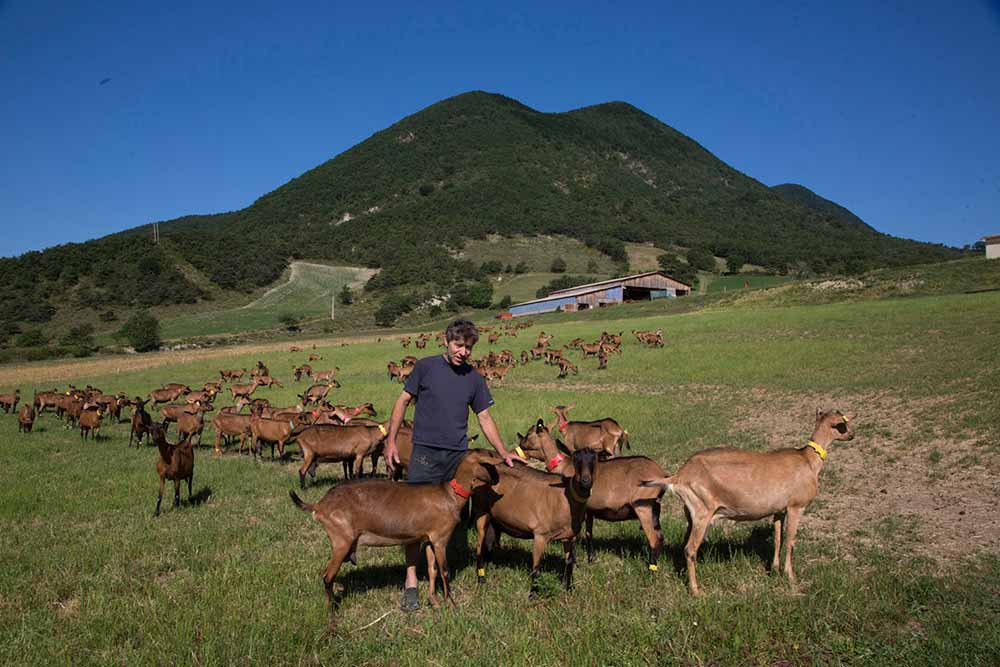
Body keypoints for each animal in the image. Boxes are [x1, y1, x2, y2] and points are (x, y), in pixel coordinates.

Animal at [290, 452, 500, 628]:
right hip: (342, 541)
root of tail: (319, 505)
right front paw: (452, 605)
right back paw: (331, 614)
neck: (449, 495)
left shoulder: (429, 539)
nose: (498, 480)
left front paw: (434, 602)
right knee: (327, 577)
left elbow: (432, 571)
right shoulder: (441, 539)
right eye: (489, 464)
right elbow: (445, 571)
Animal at [644, 412, 856, 596]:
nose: (852, 435)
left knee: (685, 546)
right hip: (702, 512)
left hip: (690, 514)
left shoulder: (779, 510)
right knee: (690, 549)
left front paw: (775, 569)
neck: (808, 461)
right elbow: (790, 540)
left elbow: (778, 539)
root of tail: (680, 476)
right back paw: (696, 591)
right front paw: (790, 577)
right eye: (842, 424)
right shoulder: (796, 506)